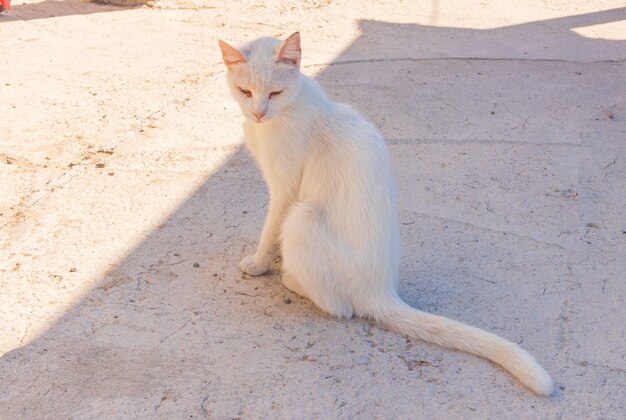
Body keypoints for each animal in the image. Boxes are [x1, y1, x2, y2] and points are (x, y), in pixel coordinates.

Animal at [218, 32, 552, 398]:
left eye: (274, 93)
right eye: (245, 92)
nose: (258, 113)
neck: (284, 113)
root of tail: (381, 292)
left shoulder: (285, 191)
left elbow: (269, 232)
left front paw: (259, 264)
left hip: (302, 217)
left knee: (342, 308)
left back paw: (293, 279)